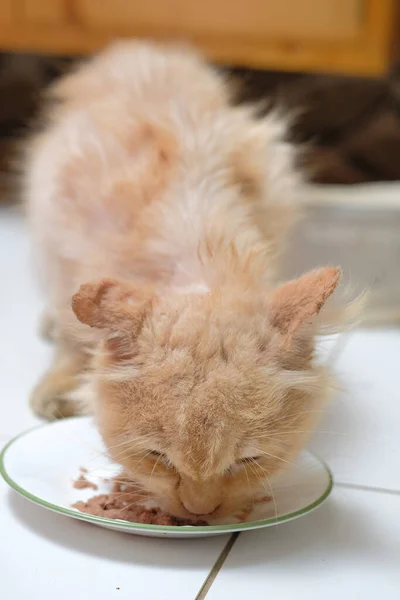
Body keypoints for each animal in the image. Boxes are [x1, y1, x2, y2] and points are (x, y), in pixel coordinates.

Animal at [24, 41, 344, 520]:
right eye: (156, 457)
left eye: (247, 462)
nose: (198, 512)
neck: (198, 248)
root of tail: (142, 47)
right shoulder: (65, 248)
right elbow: (71, 336)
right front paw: (63, 384)